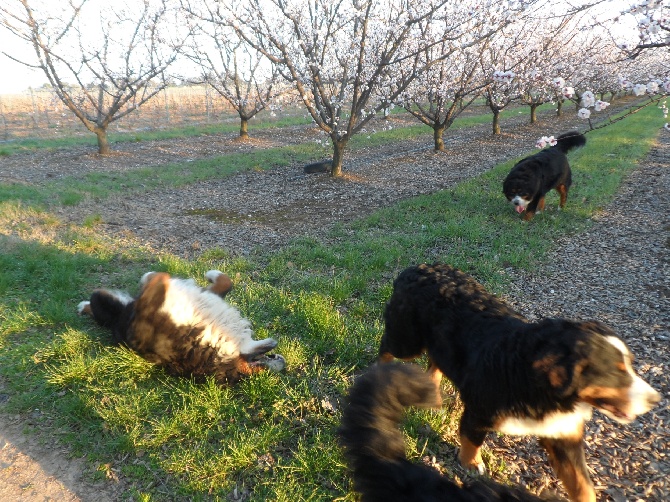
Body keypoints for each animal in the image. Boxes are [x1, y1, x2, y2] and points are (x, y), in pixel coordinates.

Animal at [79, 270, 286, 384]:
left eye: (257, 371)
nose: (282, 363)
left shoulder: (140, 327)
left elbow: (156, 283)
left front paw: (159, 280)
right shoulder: (208, 296)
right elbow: (226, 281)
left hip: (103, 302)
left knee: (98, 304)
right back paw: (83, 307)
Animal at [380, 262, 664, 502]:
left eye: (630, 364)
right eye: (616, 372)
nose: (656, 400)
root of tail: (416, 268)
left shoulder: (564, 434)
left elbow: (582, 485)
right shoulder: (479, 413)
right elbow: (472, 440)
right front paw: (472, 463)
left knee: (435, 363)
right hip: (407, 342)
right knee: (387, 348)